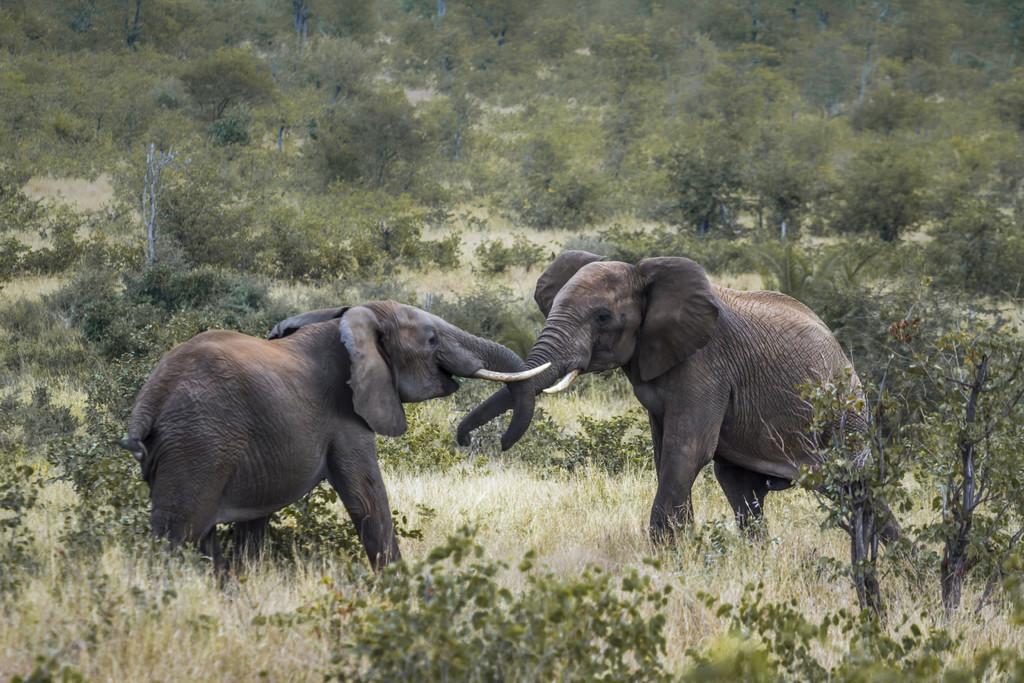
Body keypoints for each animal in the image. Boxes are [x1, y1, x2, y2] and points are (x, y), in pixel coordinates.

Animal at [122, 301, 548, 573]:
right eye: (430, 340)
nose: (468, 441)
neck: (350, 321)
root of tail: (148, 402)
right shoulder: (345, 416)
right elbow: (367, 500)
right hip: (197, 448)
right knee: (175, 538)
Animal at [458, 250, 897, 544]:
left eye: (603, 318)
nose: (464, 439)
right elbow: (666, 453)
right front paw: (682, 548)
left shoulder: (707, 365)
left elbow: (686, 450)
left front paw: (666, 555)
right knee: (740, 487)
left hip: (844, 410)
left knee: (855, 485)